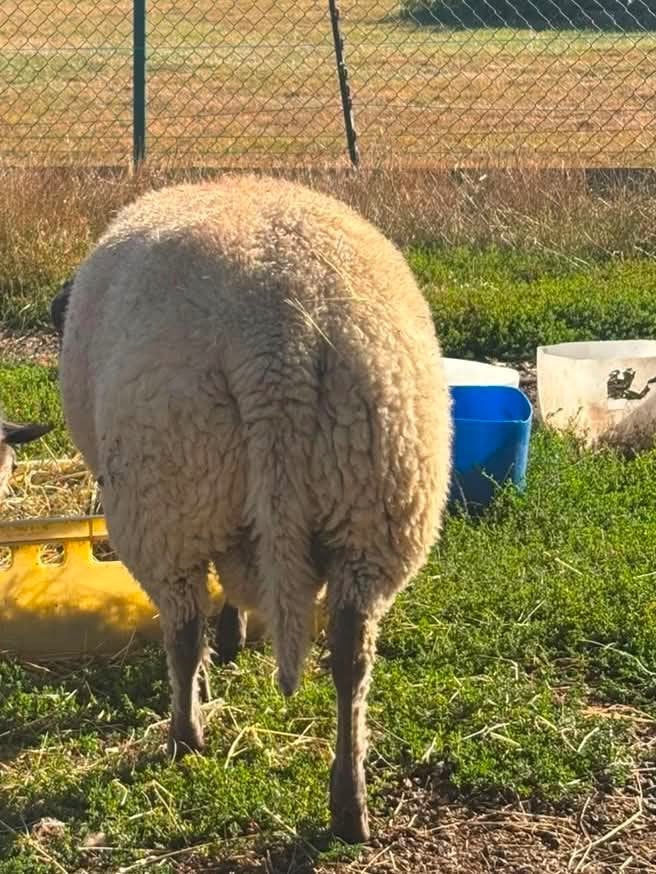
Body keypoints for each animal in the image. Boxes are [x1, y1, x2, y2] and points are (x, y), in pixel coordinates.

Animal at [56, 175, 452, 844]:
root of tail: (274, 339)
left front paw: (225, 647)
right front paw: (237, 633)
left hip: (166, 498)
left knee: (182, 627)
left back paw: (186, 736)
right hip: (376, 504)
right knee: (351, 654)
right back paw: (349, 803)